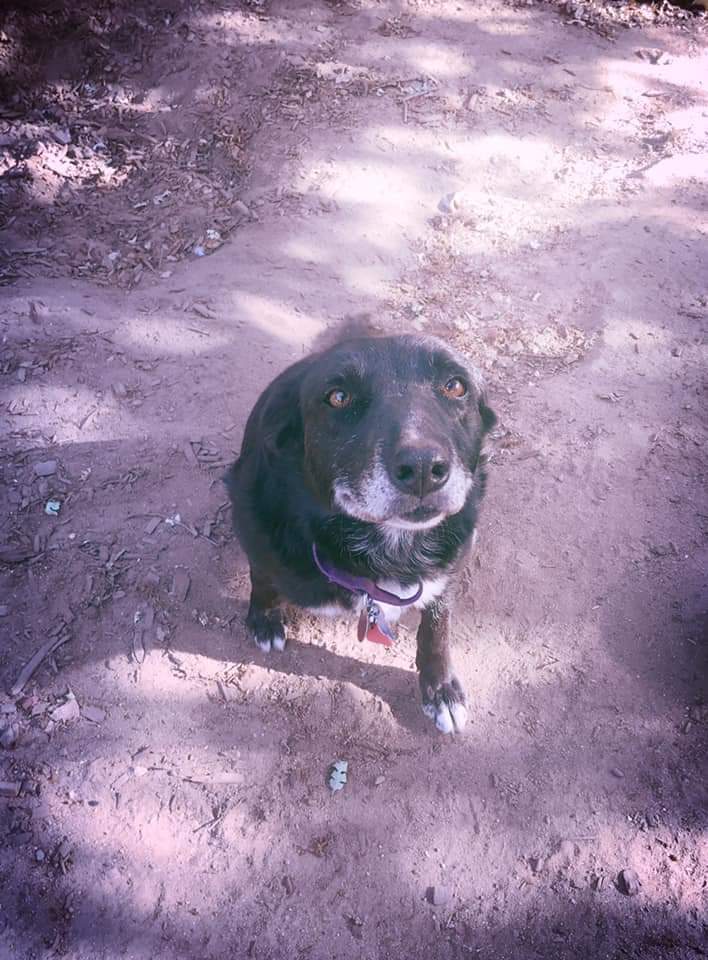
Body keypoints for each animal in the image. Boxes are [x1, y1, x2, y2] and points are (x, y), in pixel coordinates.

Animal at [224, 324, 496, 736]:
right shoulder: (253, 527)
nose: (422, 468)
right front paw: (264, 619)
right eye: (338, 397)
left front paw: (441, 690)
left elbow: (437, 626)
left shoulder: (451, 566)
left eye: (455, 386)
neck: (390, 551)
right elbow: (264, 578)